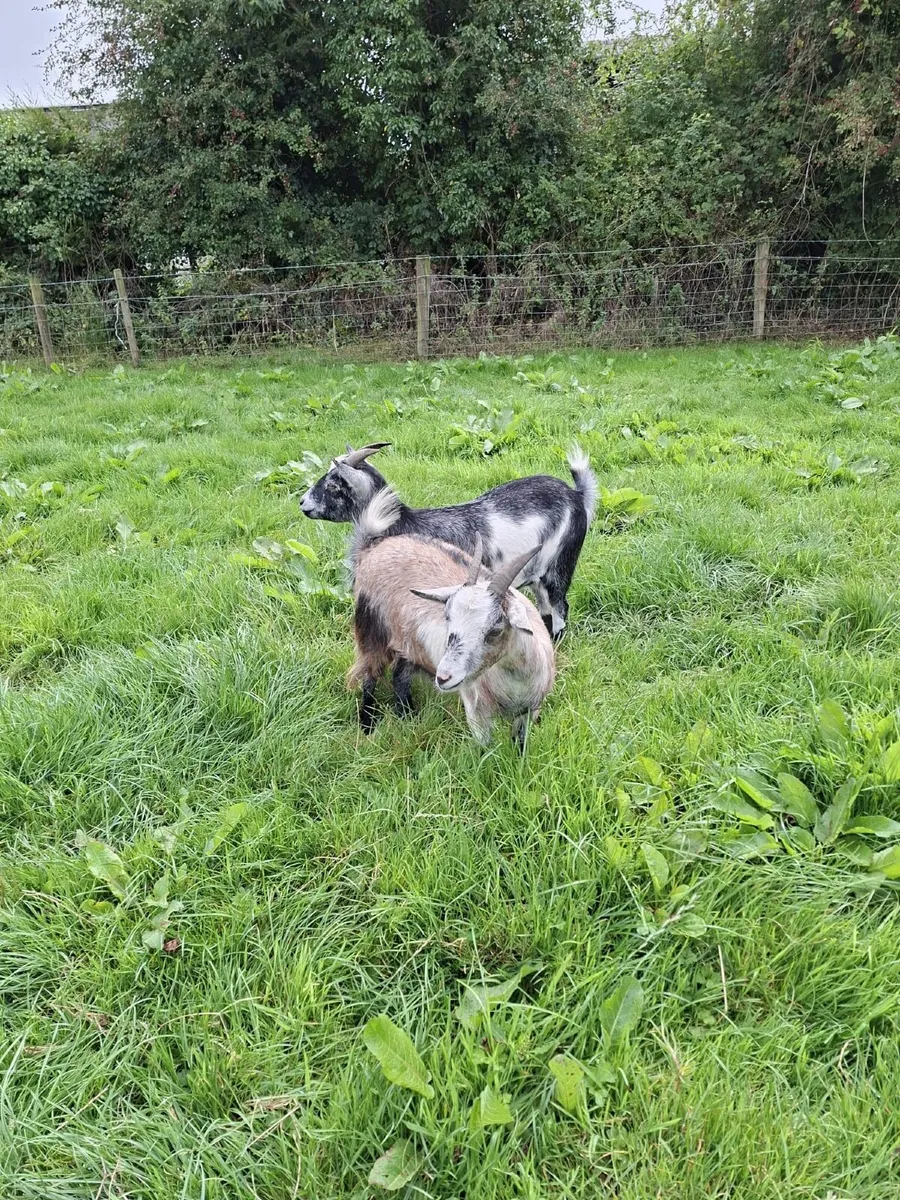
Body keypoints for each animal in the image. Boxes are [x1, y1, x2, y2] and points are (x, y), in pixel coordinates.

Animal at [300, 441, 597, 640]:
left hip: (559, 564)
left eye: (334, 485)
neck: (403, 522)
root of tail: (577, 495)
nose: (302, 502)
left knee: (559, 607)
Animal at [350, 511, 555, 748]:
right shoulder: (477, 712)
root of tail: (373, 548)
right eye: (448, 616)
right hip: (371, 629)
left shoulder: (528, 713)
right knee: (369, 674)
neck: (515, 680)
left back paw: (408, 716)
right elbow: (485, 751)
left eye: (495, 629)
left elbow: (519, 746)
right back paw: (367, 724)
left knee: (399, 676)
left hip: (408, 643)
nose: (443, 677)